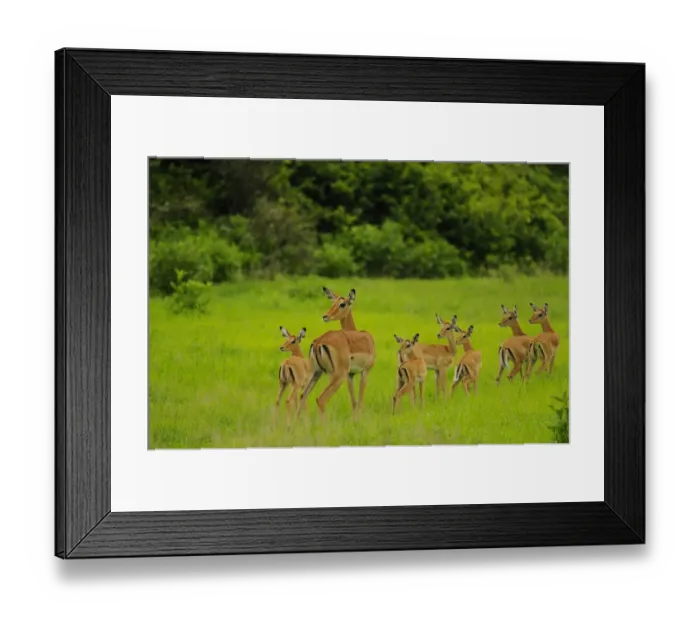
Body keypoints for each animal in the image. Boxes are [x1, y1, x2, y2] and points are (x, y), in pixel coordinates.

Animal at [297, 287, 376, 420]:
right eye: (332, 303)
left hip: (315, 373)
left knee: (302, 396)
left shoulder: (350, 375)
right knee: (320, 399)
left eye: (342, 304)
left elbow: (354, 402)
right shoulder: (364, 372)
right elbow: (360, 401)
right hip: (337, 376)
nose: (325, 316)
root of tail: (319, 342)